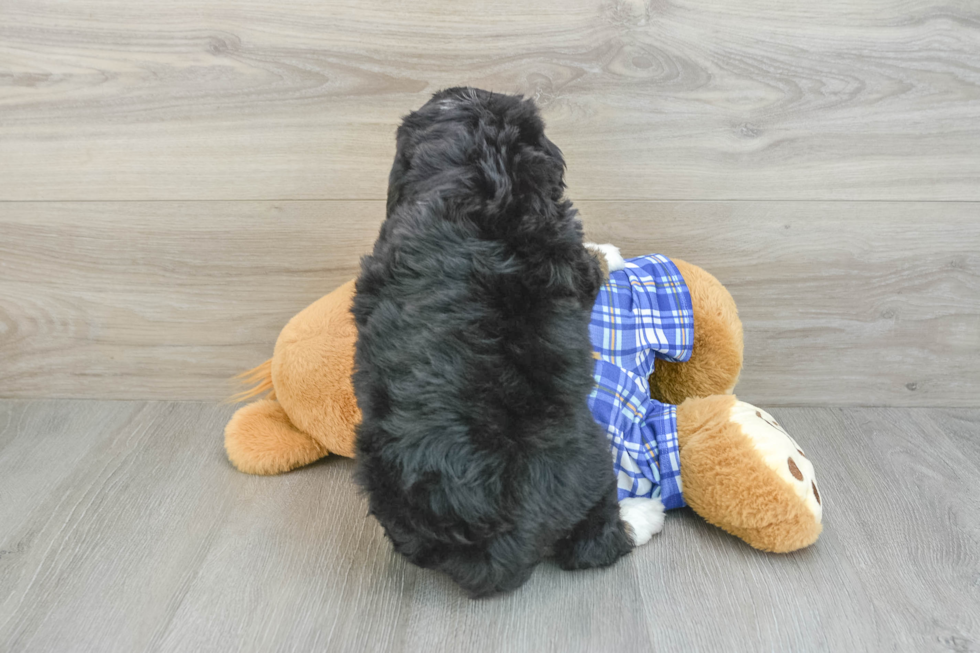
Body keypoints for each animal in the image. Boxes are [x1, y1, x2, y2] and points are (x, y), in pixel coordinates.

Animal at [348, 86, 632, 596]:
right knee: (597, 535)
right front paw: (610, 254)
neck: (479, 172)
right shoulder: (571, 258)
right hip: (594, 457)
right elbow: (592, 264)